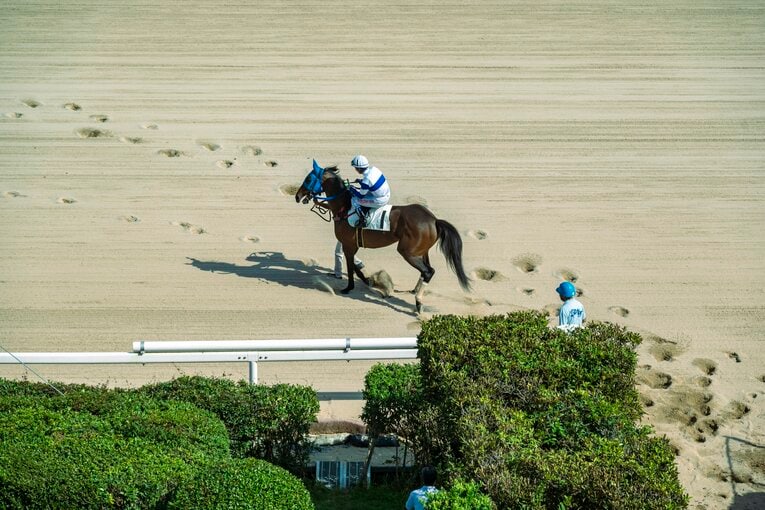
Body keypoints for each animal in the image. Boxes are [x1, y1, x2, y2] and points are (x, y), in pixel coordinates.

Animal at [294, 160, 471, 313]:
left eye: (308, 178)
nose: (297, 196)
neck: (344, 208)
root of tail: (434, 220)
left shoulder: (348, 245)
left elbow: (351, 268)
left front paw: (349, 287)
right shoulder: (350, 245)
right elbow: (355, 267)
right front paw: (368, 280)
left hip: (407, 251)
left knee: (428, 271)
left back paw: (418, 302)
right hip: (422, 251)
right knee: (426, 270)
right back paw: (415, 291)